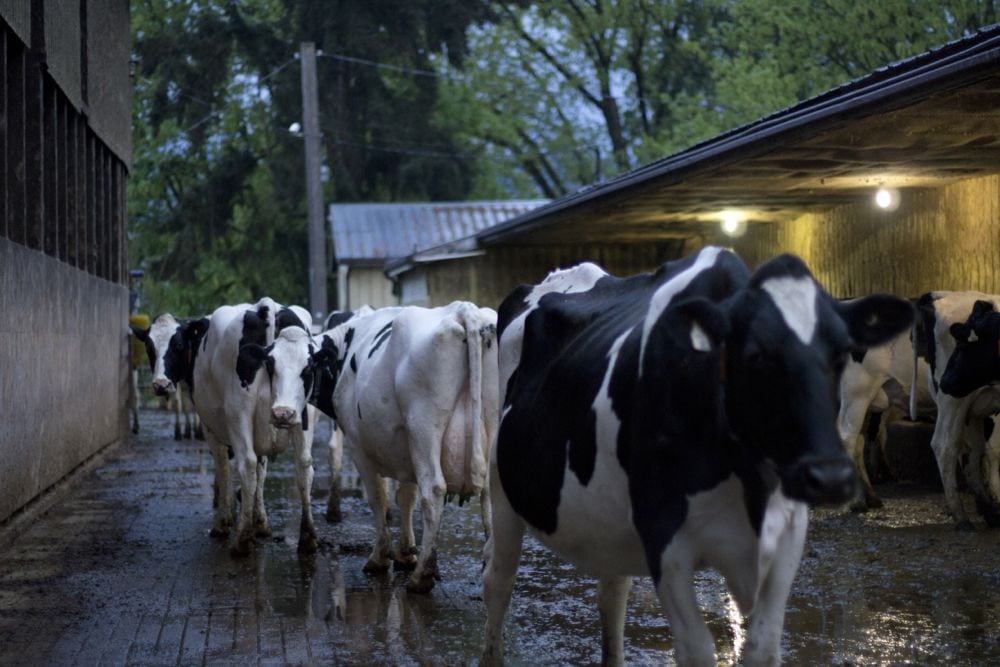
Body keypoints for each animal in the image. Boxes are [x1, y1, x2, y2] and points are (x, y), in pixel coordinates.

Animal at [304, 304, 496, 596]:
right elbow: (406, 497)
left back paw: (422, 577)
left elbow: (379, 498)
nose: (282, 414)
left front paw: (380, 558)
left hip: (424, 426)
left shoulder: (359, 446)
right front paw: (406, 554)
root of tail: (464, 310)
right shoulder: (406, 449)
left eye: (303, 369)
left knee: (434, 490)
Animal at [480, 249, 916, 667]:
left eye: (843, 353)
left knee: (612, 594)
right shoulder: (665, 537)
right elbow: (696, 651)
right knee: (498, 581)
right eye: (756, 357)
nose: (829, 477)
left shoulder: (787, 535)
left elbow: (762, 649)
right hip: (502, 489)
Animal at [916, 290, 1000, 528]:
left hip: (971, 409)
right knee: (945, 445)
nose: (946, 381)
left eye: (963, 347)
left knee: (973, 452)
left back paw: (989, 511)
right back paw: (961, 516)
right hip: (954, 401)